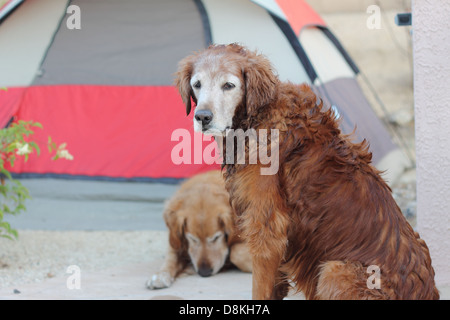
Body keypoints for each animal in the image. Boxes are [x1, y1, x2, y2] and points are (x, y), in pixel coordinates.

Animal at [176, 43, 440, 298]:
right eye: (197, 84)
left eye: (229, 85)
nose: (202, 117)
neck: (258, 117)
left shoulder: (267, 230)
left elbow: (260, 289)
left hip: (334, 270)